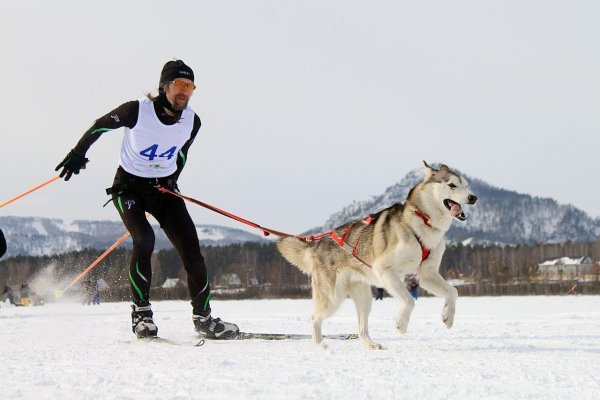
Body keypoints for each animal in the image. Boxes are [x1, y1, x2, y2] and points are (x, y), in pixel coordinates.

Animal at [276, 161, 478, 348]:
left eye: (466, 185)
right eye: (452, 185)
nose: (473, 197)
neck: (423, 222)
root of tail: (318, 244)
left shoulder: (427, 275)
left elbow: (453, 291)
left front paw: (448, 316)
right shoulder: (385, 270)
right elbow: (408, 301)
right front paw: (401, 324)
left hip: (365, 299)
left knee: (361, 328)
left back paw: (370, 345)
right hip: (332, 298)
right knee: (314, 318)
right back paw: (320, 345)